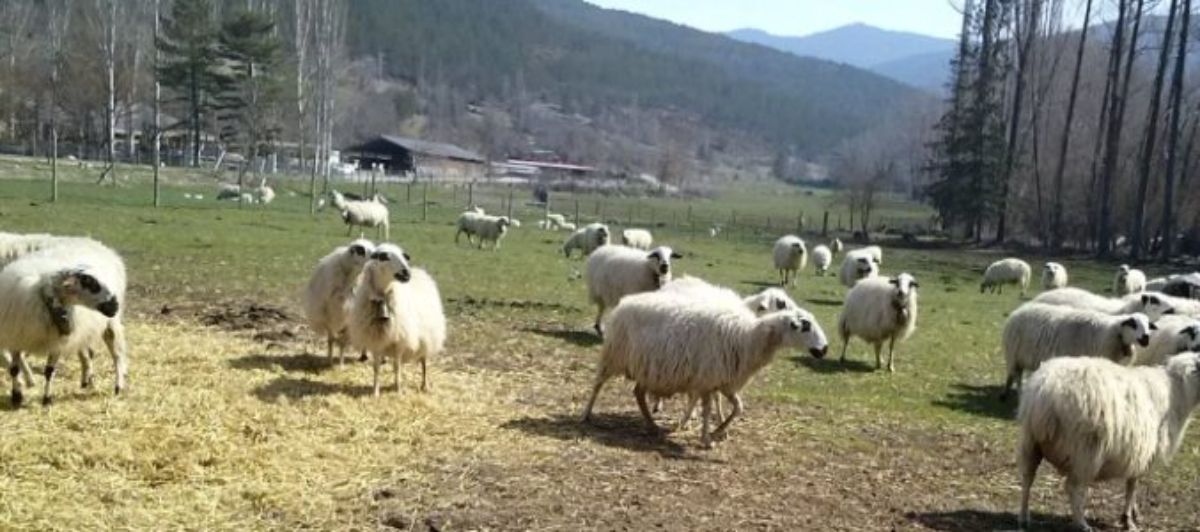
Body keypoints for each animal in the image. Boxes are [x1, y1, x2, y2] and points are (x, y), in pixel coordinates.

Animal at [0, 241, 128, 406]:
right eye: (89, 282)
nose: (114, 305)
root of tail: (94, 243)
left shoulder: (57, 343)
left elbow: (49, 371)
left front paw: (47, 399)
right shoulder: (16, 338)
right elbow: (14, 369)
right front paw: (17, 396)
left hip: (110, 323)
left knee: (117, 354)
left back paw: (117, 386)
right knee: (86, 353)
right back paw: (87, 380)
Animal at [346, 244, 446, 396]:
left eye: (404, 256)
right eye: (383, 256)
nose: (406, 273)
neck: (384, 297)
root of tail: (420, 272)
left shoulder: (399, 341)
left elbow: (397, 366)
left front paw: (398, 390)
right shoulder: (376, 341)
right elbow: (376, 368)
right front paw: (375, 392)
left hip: (428, 337)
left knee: (424, 361)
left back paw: (424, 385)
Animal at [580, 290, 829, 447]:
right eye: (805, 326)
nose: (824, 349)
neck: (748, 337)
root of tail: (625, 302)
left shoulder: (725, 382)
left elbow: (738, 407)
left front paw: (719, 431)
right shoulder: (708, 381)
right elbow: (708, 409)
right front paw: (707, 438)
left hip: (647, 368)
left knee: (638, 394)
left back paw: (652, 426)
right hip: (614, 355)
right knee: (598, 384)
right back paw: (585, 415)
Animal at [1000, 302, 1154, 399]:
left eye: (1149, 325)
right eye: (1133, 324)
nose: (1146, 338)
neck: (1115, 332)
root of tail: (1018, 311)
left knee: (1014, 374)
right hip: (1014, 354)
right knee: (1015, 375)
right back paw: (1014, 393)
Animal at [1016, 353, 1200, 531]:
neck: (1177, 390)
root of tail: (1045, 390)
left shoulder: (1138, 455)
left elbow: (1132, 484)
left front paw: (1133, 514)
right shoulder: (1143, 454)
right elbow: (1132, 486)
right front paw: (1128, 519)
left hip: (1030, 442)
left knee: (1027, 478)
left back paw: (1024, 517)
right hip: (1085, 451)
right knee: (1073, 488)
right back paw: (1081, 524)